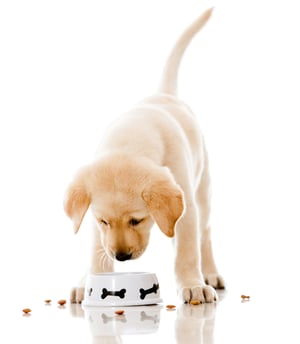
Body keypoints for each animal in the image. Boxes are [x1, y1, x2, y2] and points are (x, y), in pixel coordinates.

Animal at [63, 8, 223, 304]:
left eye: (137, 220)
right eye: (104, 221)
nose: (122, 257)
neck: (130, 140)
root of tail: (164, 94)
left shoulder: (187, 208)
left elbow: (186, 251)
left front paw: (192, 284)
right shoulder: (93, 222)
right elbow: (96, 252)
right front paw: (91, 280)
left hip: (203, 192)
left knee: (204, 236)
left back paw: (209, 273)